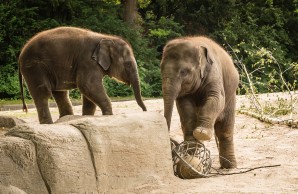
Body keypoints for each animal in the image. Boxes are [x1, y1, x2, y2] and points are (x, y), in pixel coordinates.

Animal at [18, 26, 147, 123]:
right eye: (128, 64)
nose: (145, 111)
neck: (106, 37)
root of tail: (20, 55)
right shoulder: (87, 61)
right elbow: (87, 85)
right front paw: (108, 115)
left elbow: (88, 94)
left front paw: (87, 118)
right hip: (34, 67)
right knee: (43, 93)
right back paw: (49, 124)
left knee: (60, 93)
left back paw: (65, 119)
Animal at [161, 36, 240, 168]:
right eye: (160, 70)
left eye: (183, 72)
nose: (170, 143)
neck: (194, 43)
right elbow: (184, 105)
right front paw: (195, 136)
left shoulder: (214, 71)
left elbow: (216, 97)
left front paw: (202, 133)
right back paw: (191, 146)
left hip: (231, 97)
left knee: (224, 130)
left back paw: (229, 166)